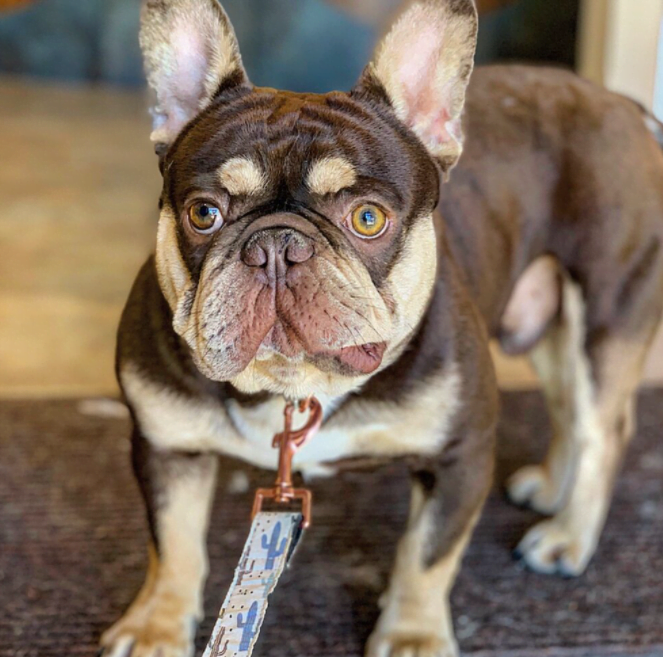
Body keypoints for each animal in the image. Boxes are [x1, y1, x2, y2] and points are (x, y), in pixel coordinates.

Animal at [101, 1, 663, 656]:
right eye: (203, 213)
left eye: (368, 218)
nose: (275, 245)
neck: (296, 388)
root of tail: (619, 104)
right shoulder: (168, 447)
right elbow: (174, 543)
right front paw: (156, 625)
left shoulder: (459, 456)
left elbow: (426, 556)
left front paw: (414, 635)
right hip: (552, 327)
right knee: (568, 407)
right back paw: (551, 488)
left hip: (606, 313)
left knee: (603, 428)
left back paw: (568, 535)